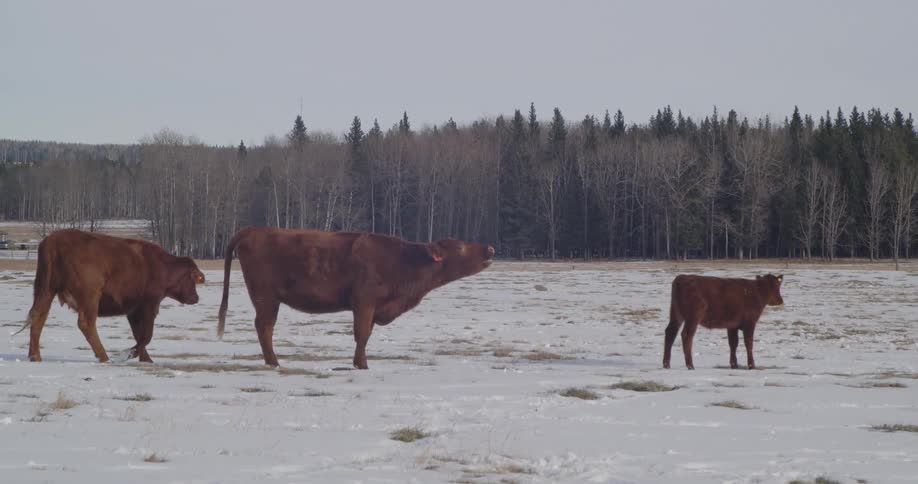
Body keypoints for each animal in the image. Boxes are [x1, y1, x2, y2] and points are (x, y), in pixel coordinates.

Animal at [16, 229, 205, 363]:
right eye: (193, 279)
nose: (196, 298)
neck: (161, 265)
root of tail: (53, 241)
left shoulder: (133, 310)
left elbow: (139, 335)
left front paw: (145, 358)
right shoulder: (148, 305)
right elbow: (146, 335)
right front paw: (129, 354)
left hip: (45, 291)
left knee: (38, 318)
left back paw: (35, 356)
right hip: (90, 296)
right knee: (86, 324)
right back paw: (104, 357)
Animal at [217, 227, 495, 369]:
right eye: (460, 247)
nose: (490, 248)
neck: (403, 261)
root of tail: (253, 230)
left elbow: (366, 334)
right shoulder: (364, 302)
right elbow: (362, 333)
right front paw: (362, 364)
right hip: (266, 298)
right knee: (264, 327)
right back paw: (274, 362)